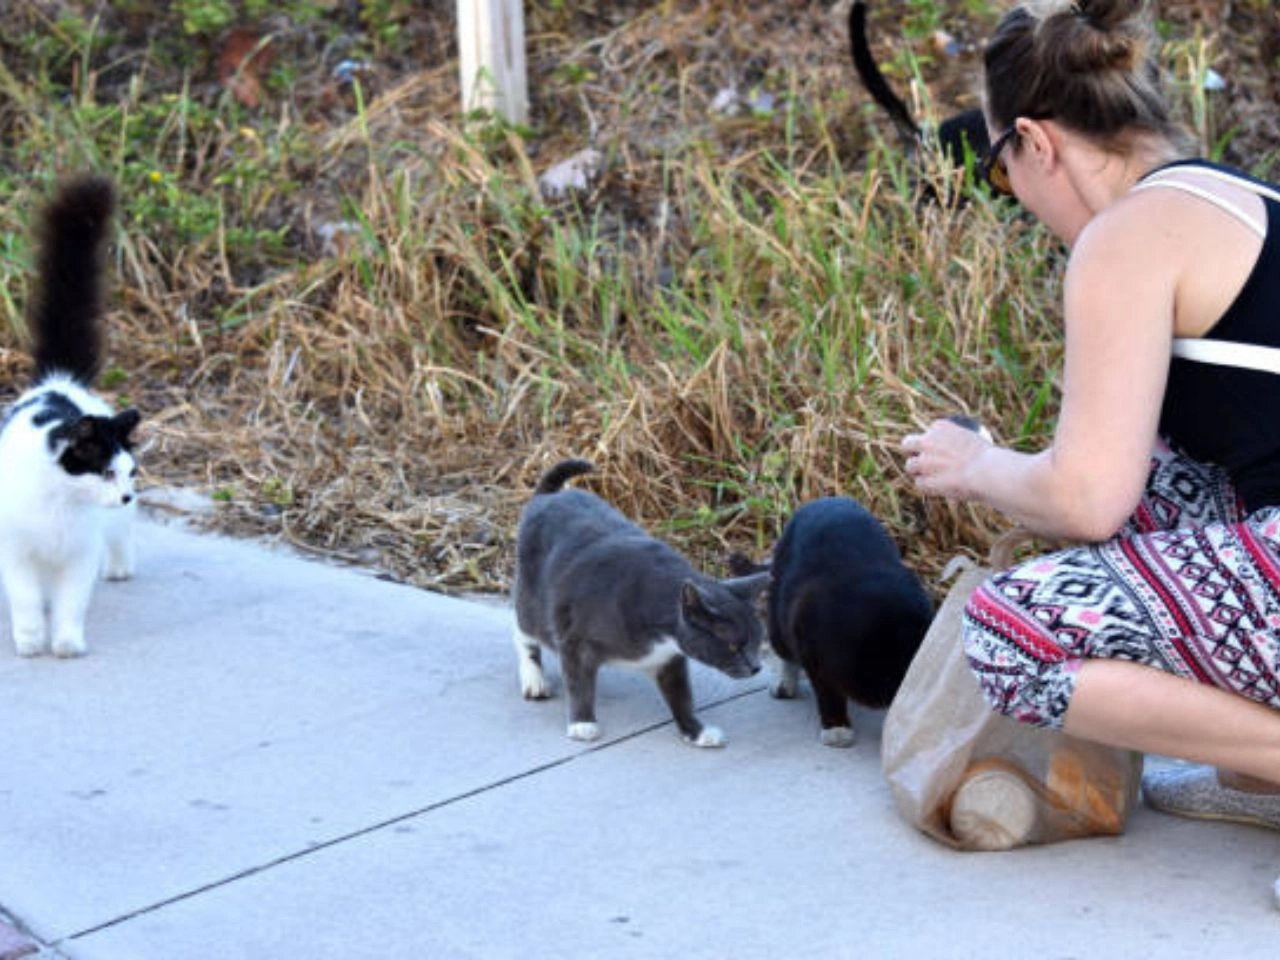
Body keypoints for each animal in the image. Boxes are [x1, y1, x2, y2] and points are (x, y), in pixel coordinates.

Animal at [0, 176, 141, 660]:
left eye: (128, 473)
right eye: (104, 472)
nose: (126, 495)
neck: (61, 502)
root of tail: (59, 381)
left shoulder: (81, 553)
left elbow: (71, 603)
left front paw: (65, 644)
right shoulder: (16, 551)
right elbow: (25, 598)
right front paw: (30, 642)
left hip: (113, 530)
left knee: (121, 537)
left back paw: (119, 568)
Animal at [512, 460, 768, 752]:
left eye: (758, 642)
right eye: (734, 646)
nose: (756, 667)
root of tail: (549, 495)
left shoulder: (669, 659)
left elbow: (682, 697)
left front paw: (696, 731)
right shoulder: (574, 640)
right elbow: (579, 682)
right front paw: (582, 723)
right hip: (535, 599)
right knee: (524, 629)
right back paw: (534, 679)